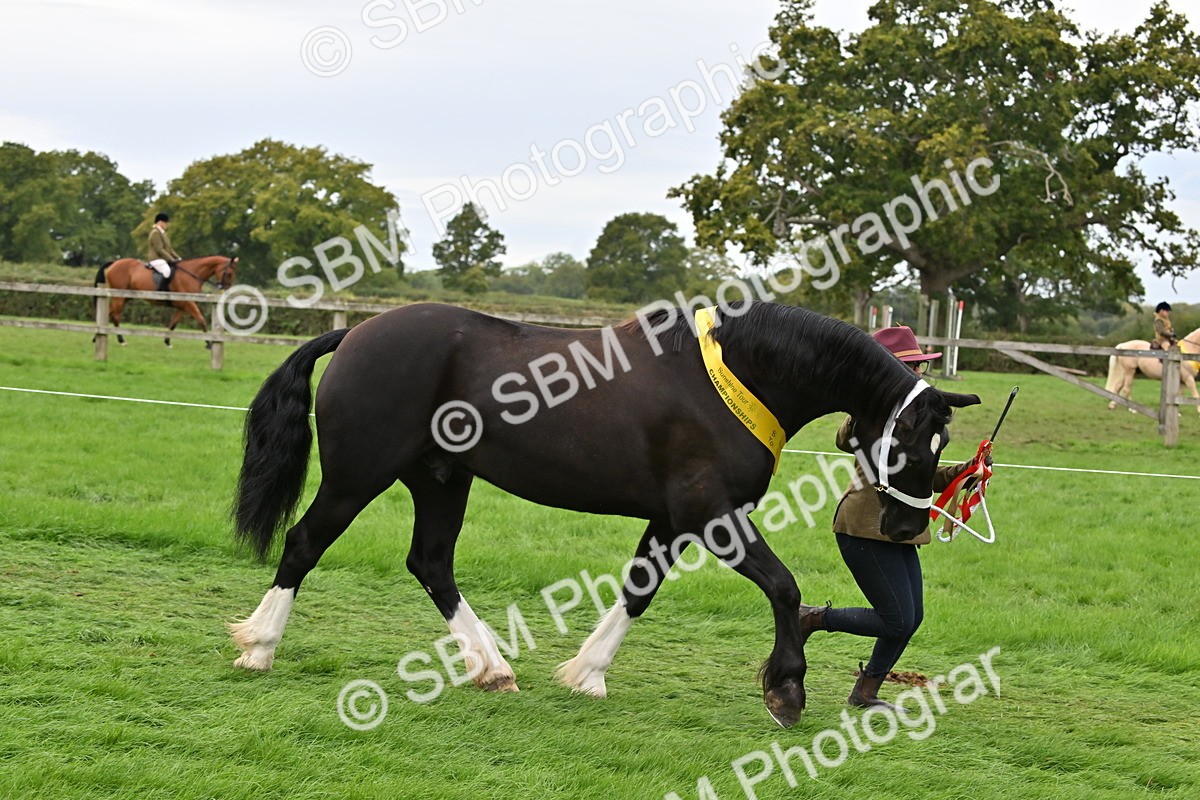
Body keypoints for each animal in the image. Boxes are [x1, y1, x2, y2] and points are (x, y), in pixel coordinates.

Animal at [93, 255, 238, 348]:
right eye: (229, 273)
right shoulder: (189, 303)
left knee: (108, 314)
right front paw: (209, 343)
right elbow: (201, 320)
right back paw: (121, 340)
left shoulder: (183, 306)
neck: (191, 274)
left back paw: (96, 337)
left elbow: (173, 323)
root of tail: (114, 263)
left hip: (125, 297)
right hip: (119, 297)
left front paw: (167, 342)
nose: (226, 289)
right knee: (115, 316)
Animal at [228, 301, 979, 727]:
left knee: (431, 563)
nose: (906, 530)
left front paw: (587, 672)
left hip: (441, 478)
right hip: (360, 474)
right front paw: (786, 689)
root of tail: (355, 332)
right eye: (911, 442)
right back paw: (259, 646)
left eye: (944, 448)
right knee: (304, 543)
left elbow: (638, 590)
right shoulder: (710, 513)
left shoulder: (675, 520)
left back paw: (493, 667)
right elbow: (785, 587)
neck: (737, 376)